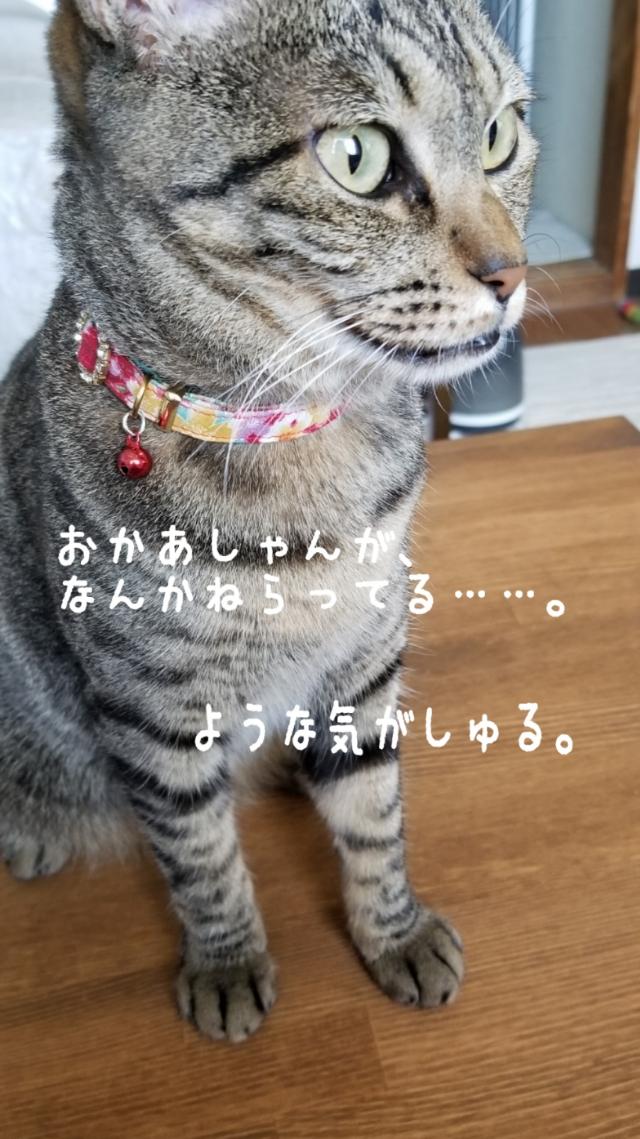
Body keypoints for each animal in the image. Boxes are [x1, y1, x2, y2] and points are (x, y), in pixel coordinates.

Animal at [0, 0, 535, 1043]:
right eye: (359, 157)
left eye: (501, 136)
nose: (514, 272)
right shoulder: (153, 705)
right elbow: (200, 854)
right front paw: (227, 960)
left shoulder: (367, 655)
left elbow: (374, 814)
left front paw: (394, 931)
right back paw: (35, 827)